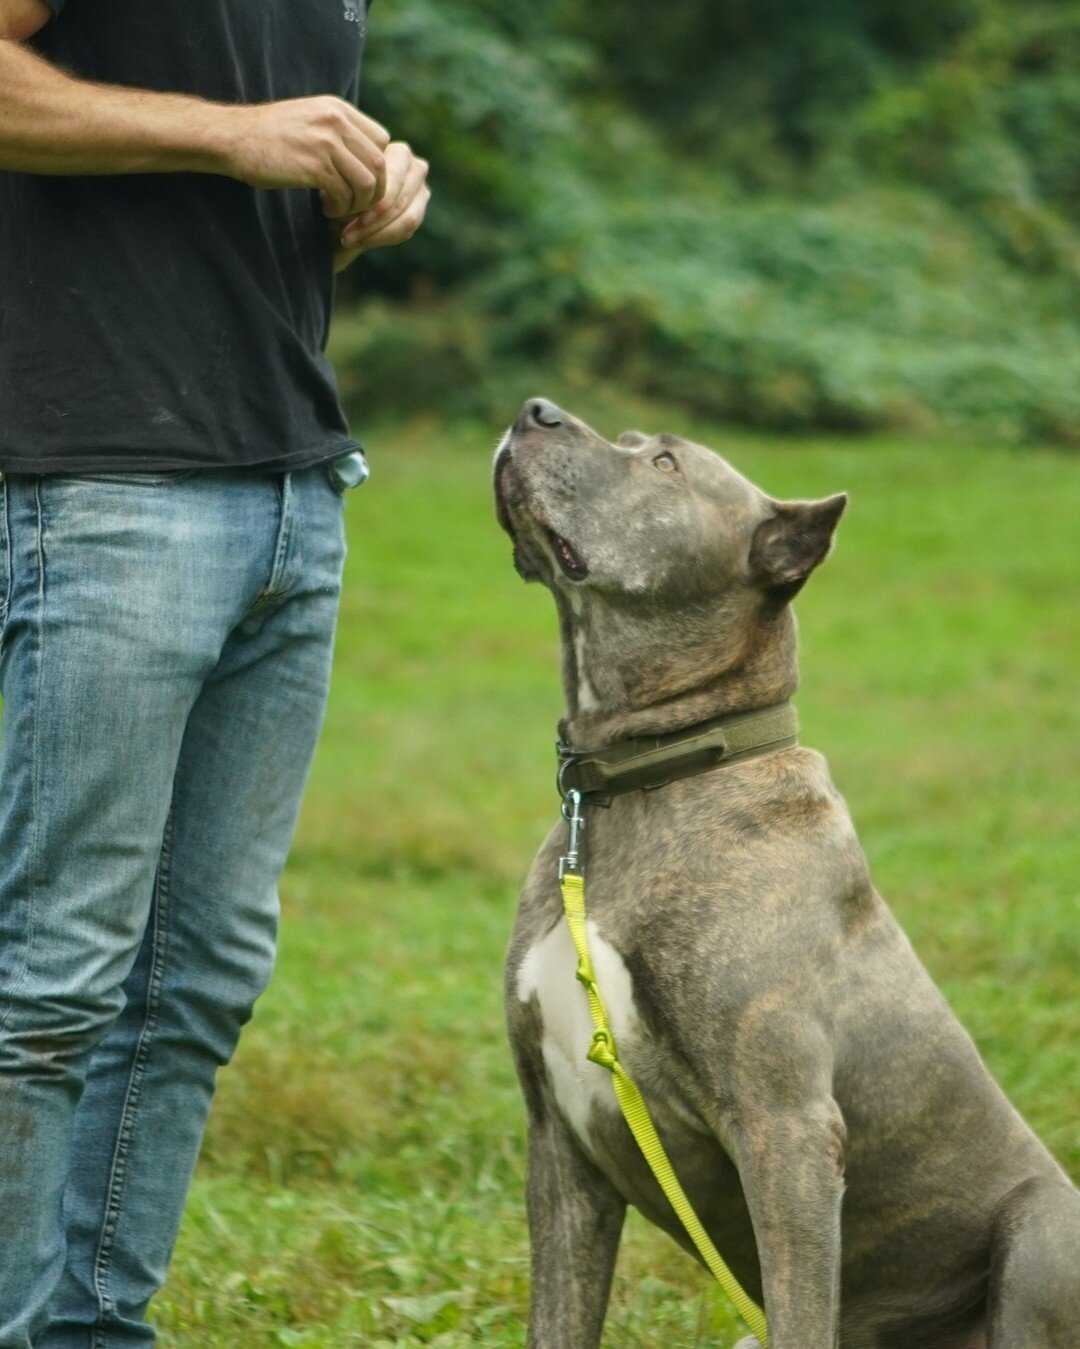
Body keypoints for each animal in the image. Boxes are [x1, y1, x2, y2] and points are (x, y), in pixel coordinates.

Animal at [496, 396, 1078, 1349]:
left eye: (664, 464)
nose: (534, 410)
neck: (647, 785)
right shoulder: (560, 1146)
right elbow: (558, 1318)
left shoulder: (788, 1133)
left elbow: (804, 1308)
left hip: (1045, 1227)